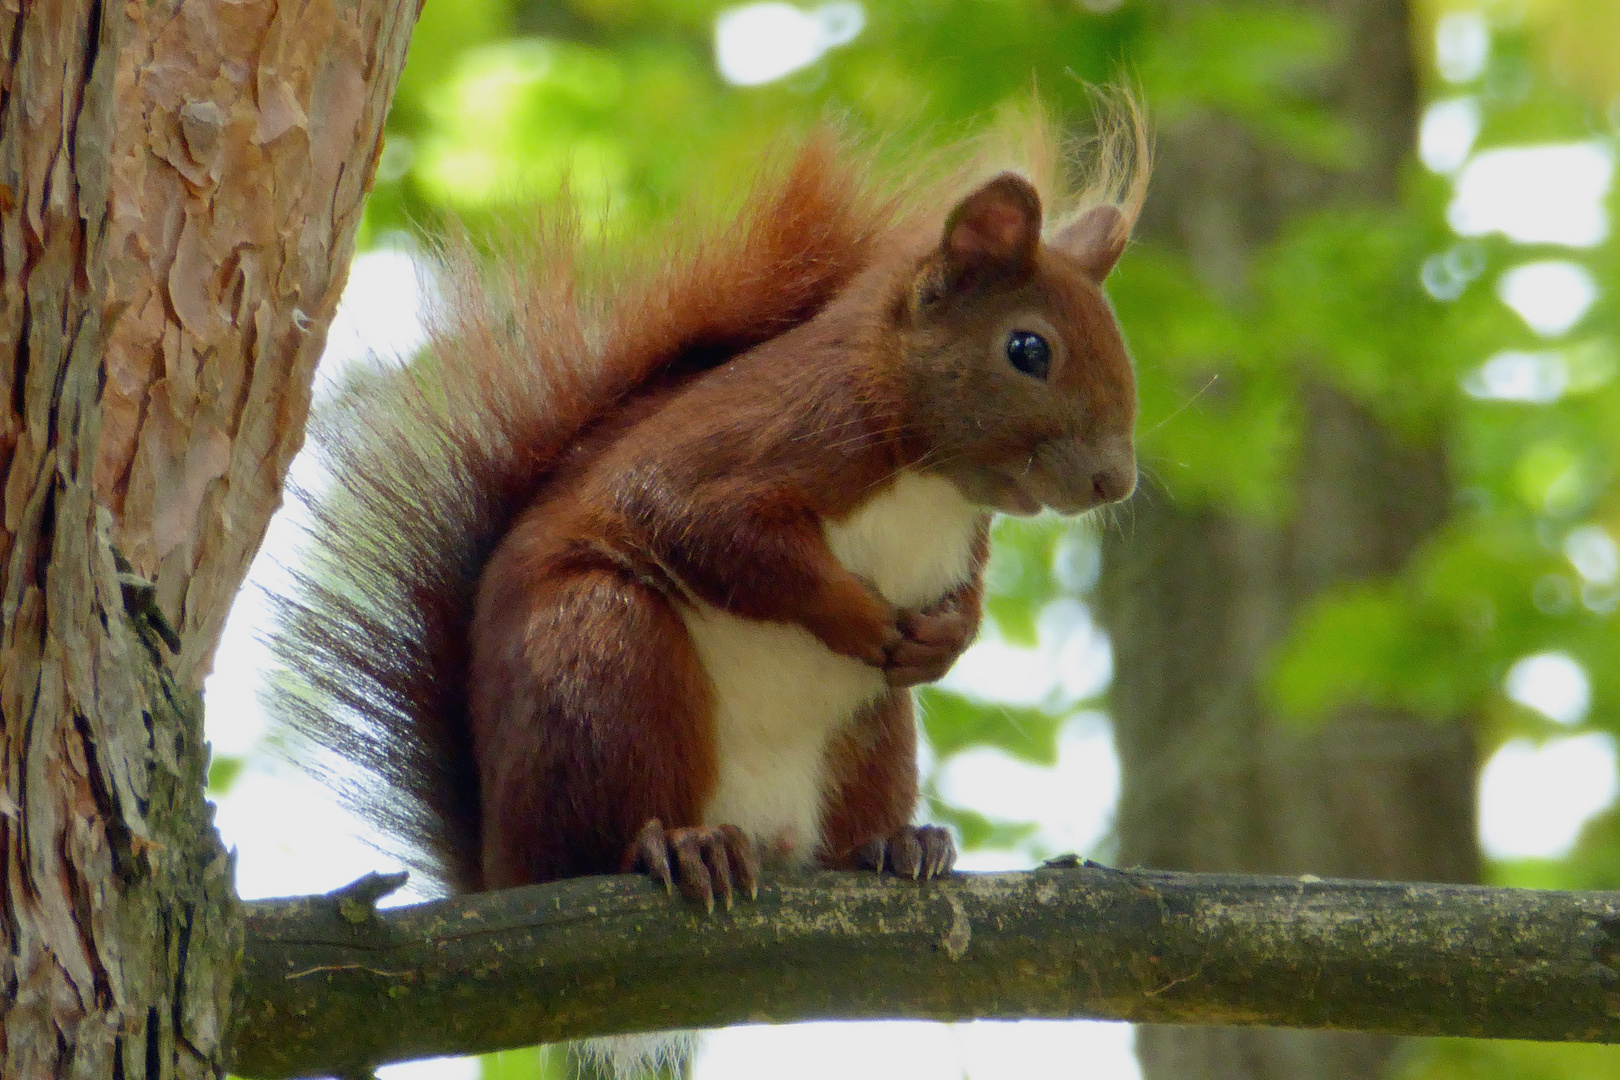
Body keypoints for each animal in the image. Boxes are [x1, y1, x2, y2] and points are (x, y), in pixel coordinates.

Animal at [272, 105, 1146, 913]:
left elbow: (965, 598)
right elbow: (712, 532)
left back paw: (897, 845)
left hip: (871, 735)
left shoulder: (967, 538)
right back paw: (680, 846)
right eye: (1027, 349)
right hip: (604, 659)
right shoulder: (763, 443)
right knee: (601, 835)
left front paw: (944, 641)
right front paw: (858, 618)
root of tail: (499, 867)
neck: (931, 481)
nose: (1115, 482)